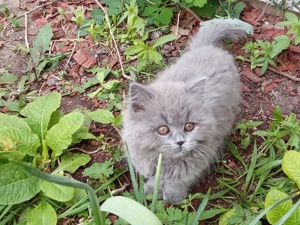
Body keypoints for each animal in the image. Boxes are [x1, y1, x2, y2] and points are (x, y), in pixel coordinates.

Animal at [122, 23, 246, 203]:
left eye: (189, 126)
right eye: (163, 129)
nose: (180, 142)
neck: (167, 162)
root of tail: (206, 47)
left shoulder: (198, 159)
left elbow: (178, 181)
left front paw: (173, 197)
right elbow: (155, 177)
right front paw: (152, 190)